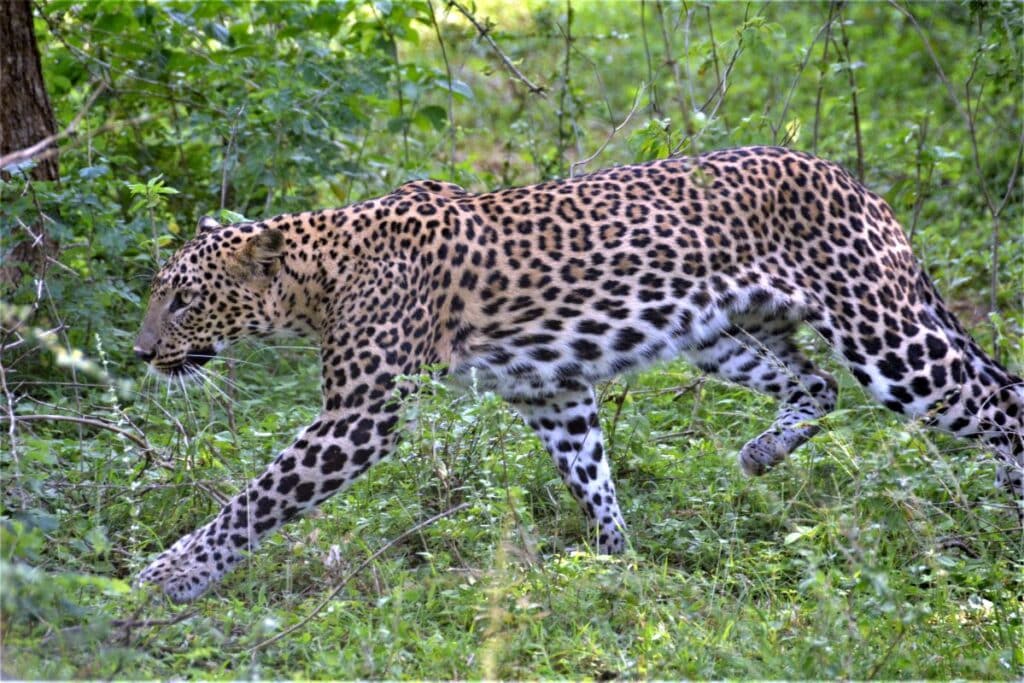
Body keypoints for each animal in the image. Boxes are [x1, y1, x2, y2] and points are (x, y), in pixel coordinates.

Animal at [132, 145, 1019, 602]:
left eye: (182, 299)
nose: (142, 353)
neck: (316, 278)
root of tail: (854, 181)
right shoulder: (550, 389)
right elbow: (591, 474)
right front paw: (617, 567)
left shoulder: (361, 414)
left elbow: (254, 499)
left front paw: (166, 576)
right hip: (725, 332)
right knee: (816, 385)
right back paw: (761, 454)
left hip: (888, 337)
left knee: (999, 402)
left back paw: (1012, 517)